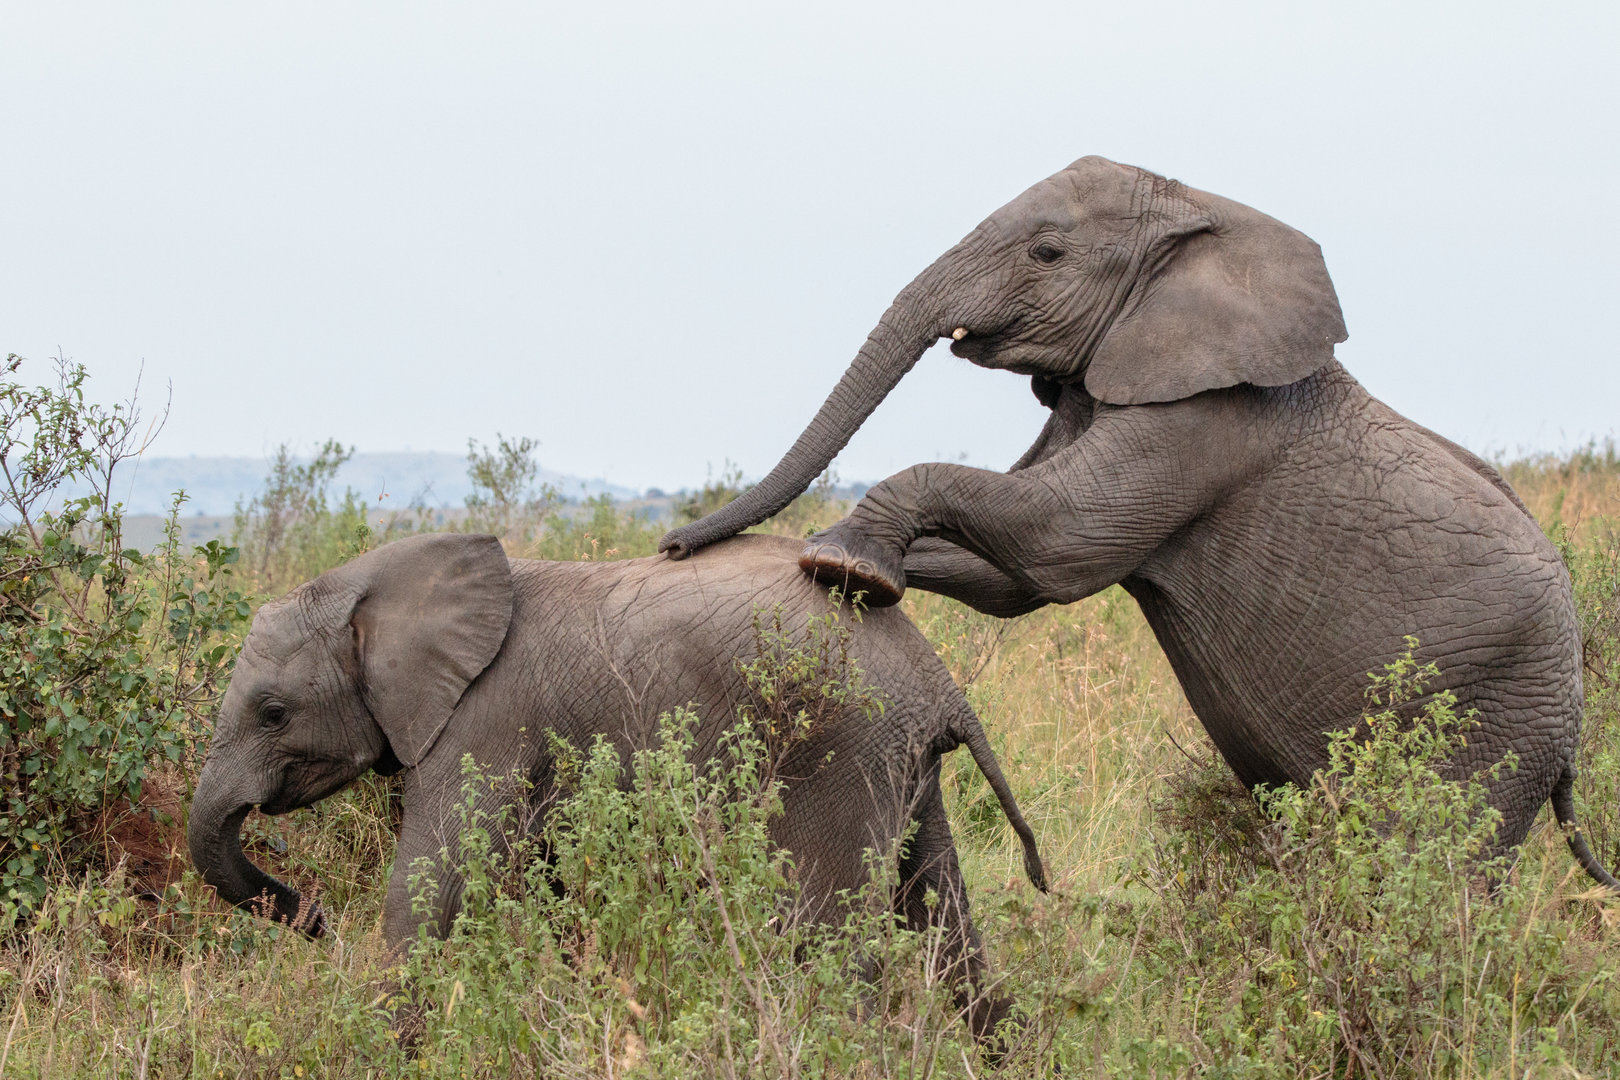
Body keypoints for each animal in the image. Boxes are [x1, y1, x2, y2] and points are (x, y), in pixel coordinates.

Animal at [187, 532, 1048, 1042]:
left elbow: (433, 879)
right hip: (903, 764)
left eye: (272, 713)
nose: (317, 919)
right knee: (942, 913)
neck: (375, 581)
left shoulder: (485, 720)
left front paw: (387, 1046)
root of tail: (940, 683)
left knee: (828, 930)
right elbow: (553, 888)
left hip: (844, 747)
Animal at [659, 154, 1618, 888]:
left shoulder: (1205, 421)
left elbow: (1058, 543)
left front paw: (839, 565)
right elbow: (1013, 580)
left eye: (1048, 252)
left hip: (1493, 726)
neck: (1200, 213)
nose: (671, 543)